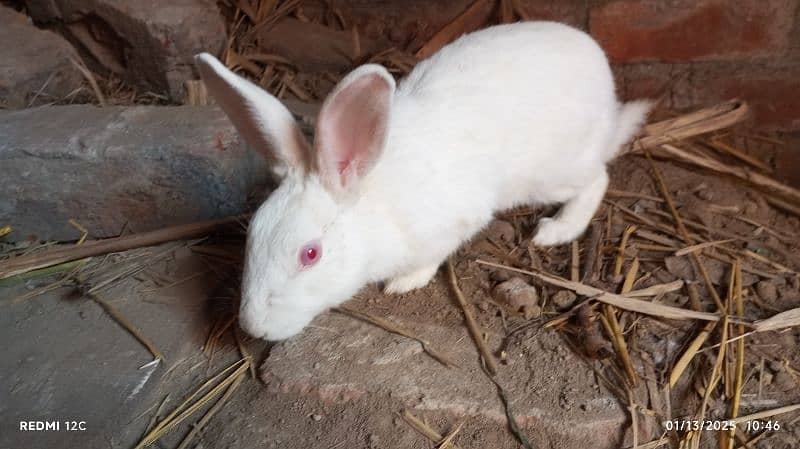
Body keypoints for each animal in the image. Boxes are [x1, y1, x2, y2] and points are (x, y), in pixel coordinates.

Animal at [194, 20, 648, 340]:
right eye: (251, 235)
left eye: (310, 254)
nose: (253, 328)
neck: (369, 201)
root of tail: (600, 67)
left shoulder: (451, 224)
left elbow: (432, 256)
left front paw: (403, 283)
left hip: (555, 173)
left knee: (598, 177)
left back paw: (556, 230)